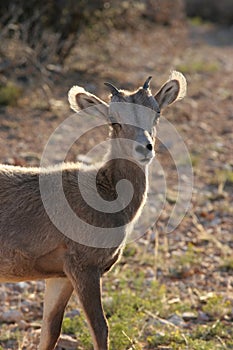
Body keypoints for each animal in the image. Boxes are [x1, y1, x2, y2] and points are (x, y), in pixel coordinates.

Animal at [0, 70, 186, 348]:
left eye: (157, 112)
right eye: (114, 121)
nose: (144, 148)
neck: (105, 192)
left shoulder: (59, 276)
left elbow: (50, 331)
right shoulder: (84, 268)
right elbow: (100, 328)